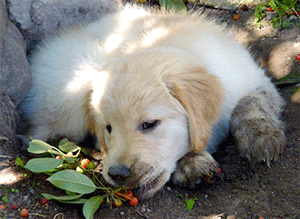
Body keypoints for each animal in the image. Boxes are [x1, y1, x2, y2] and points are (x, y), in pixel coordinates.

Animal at [21, 5, 286, 199]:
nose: (117, 174)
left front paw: (261, 135)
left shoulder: (255, 80)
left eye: (149, 124)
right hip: (73, 92)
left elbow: (250, 104)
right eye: (109, 128)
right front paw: (192, 164)